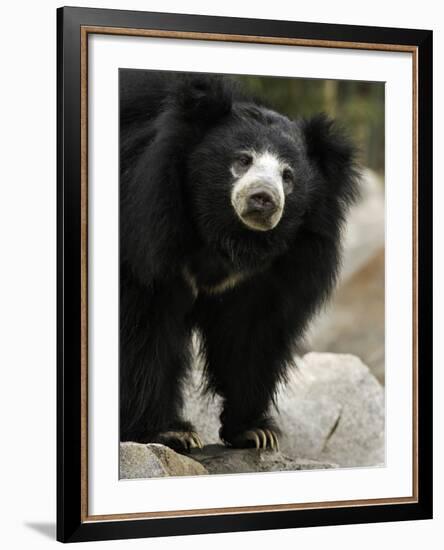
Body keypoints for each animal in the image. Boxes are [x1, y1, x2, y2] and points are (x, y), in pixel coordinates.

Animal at [119, 70, 360, 452]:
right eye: (242, 160)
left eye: (288, 176)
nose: (263, 198)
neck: (226, 238)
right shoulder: (145, 237)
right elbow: (144, 332)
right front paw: (169, 433)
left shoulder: (272, 270)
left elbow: (251, 335)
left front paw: (254, 431)